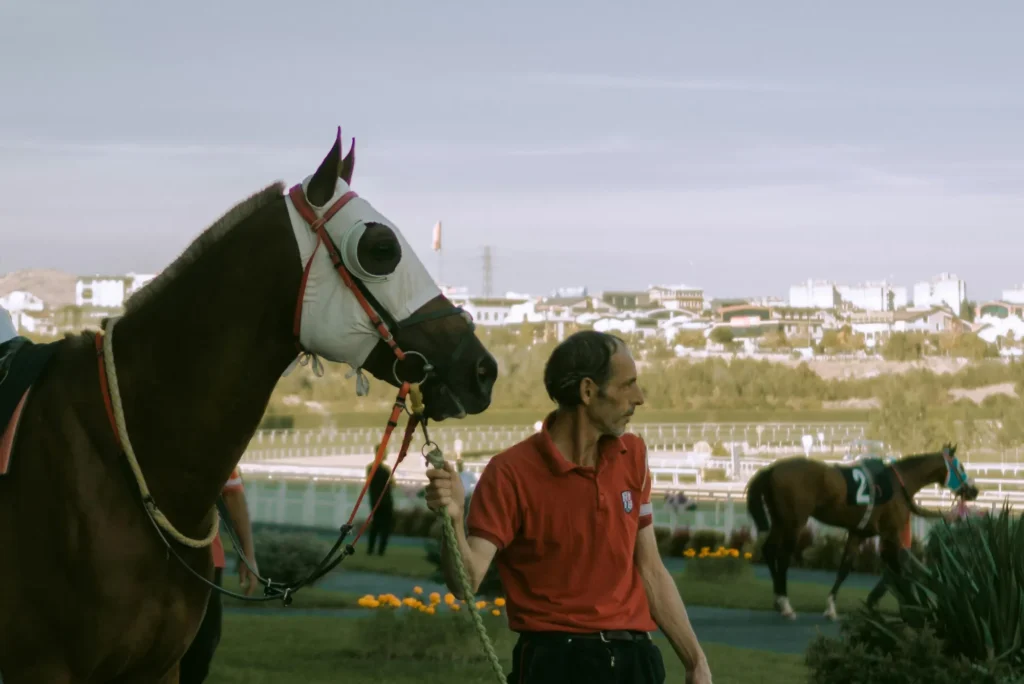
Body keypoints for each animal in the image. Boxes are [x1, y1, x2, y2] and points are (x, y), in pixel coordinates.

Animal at [745, 443, 978, 621]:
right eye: (961, 466)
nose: (974, 491)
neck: (899, 484)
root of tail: (771, 469)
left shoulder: (858, 533)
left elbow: (845, 568)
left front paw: (831, 608)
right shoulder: (891, 533)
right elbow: (898, 568)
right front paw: (908, 606)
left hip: (780, 520)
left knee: (768, 549)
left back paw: (778, 600)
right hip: (794, 522)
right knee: (783, 556)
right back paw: (785, 604)